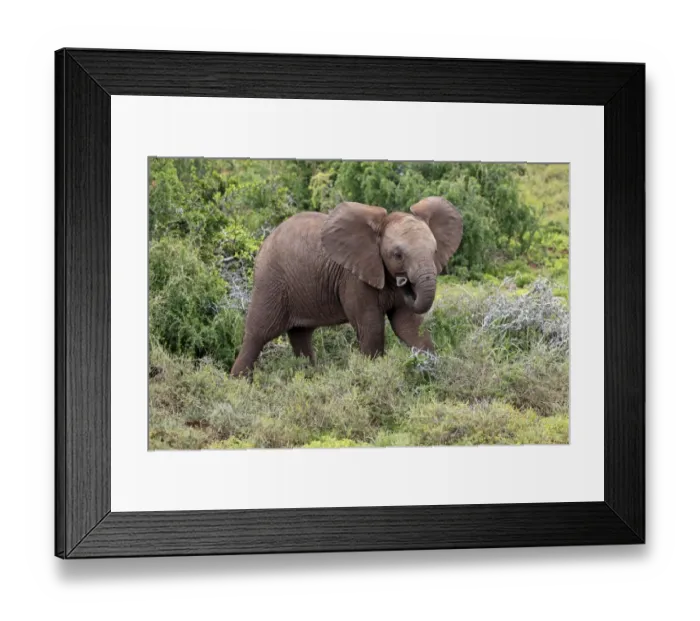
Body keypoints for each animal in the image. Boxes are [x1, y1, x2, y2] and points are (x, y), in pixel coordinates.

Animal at [230, 197, 463, 377]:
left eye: (434, 251)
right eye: (397, 255)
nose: (405, 283)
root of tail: (265, 240)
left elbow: (408, 326)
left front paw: (431, 370)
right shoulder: (353, 278)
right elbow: (371, 328)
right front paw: (373, 374)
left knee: (300, 335)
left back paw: (309, 378)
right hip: (270, 281)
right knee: (258, 334)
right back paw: (238, 385)